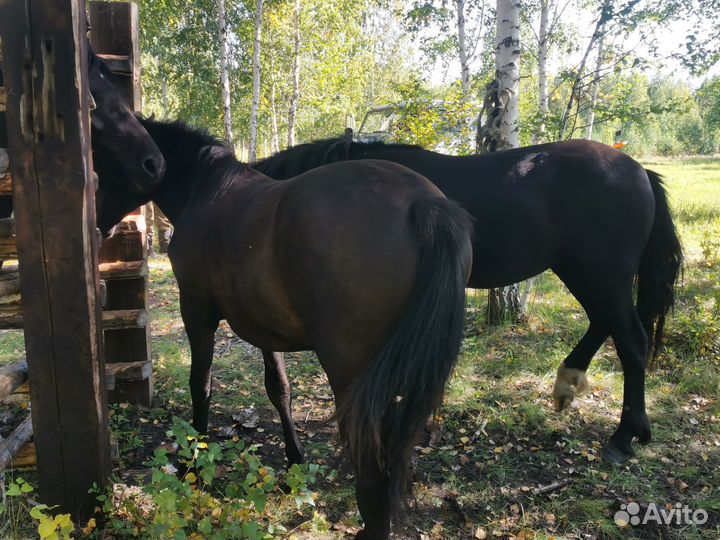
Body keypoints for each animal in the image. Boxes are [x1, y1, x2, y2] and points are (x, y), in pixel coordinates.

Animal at [93, 117, 474, 540]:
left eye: (98, 159)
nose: (97, 227)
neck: (205, 190)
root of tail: (422, 203)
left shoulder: (196, 311)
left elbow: (201, 385)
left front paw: (196, 467)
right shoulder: (263, 326)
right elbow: (279, 389)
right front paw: (295, 464)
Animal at [252, 136, 683, 464]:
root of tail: (640, 172)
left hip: (601, 275)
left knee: (631, 341)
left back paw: (623, 437)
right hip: (585, 273)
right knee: (603, 323)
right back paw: (571, 384)